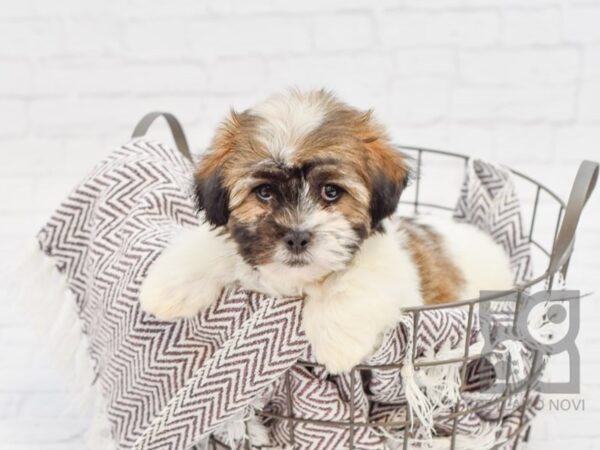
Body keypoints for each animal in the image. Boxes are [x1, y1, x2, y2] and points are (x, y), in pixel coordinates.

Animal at [139, 89, 510, 374]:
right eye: (264, 192)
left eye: (331, 192)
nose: (297, 236)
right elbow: (214, 247)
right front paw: (165, 290)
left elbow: (355, 280)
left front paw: (337, 344)